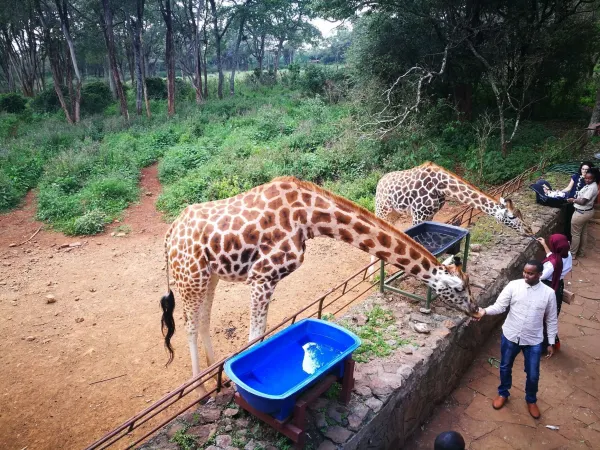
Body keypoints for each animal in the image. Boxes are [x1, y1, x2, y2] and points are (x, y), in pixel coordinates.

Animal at [161, 174, 478, 392]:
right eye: (459, 288)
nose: (476, 311)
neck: (310, 217)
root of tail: (170, 234)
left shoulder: (262, 278)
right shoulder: (262, 275)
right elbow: (255, 337)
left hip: (209, 275)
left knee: (203, 319)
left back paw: (215, 374)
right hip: (190, 276)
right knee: (190, 325)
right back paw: (200, 388)